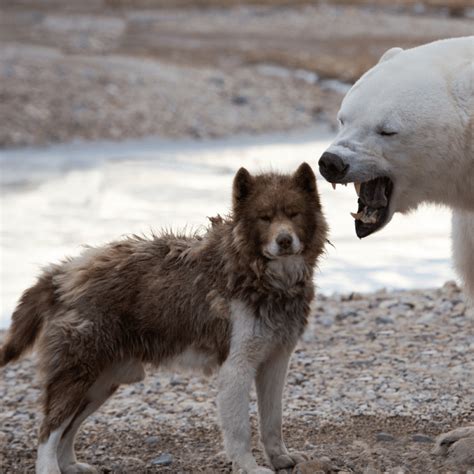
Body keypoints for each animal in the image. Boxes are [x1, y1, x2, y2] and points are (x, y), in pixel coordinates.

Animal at [0, 164, 328, 474]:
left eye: (294, 214)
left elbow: (272, 420)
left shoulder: (275, 362)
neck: (258, 274)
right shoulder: (237, 367)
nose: (284, 241)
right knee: (48, 430)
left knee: (67, 431)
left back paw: (69, 465)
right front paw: (248, 467)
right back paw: (50, 468)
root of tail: (62, 273)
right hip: (78, 374)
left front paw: (281, 458)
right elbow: (240, 431)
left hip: (100, 383)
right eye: (264, 218)